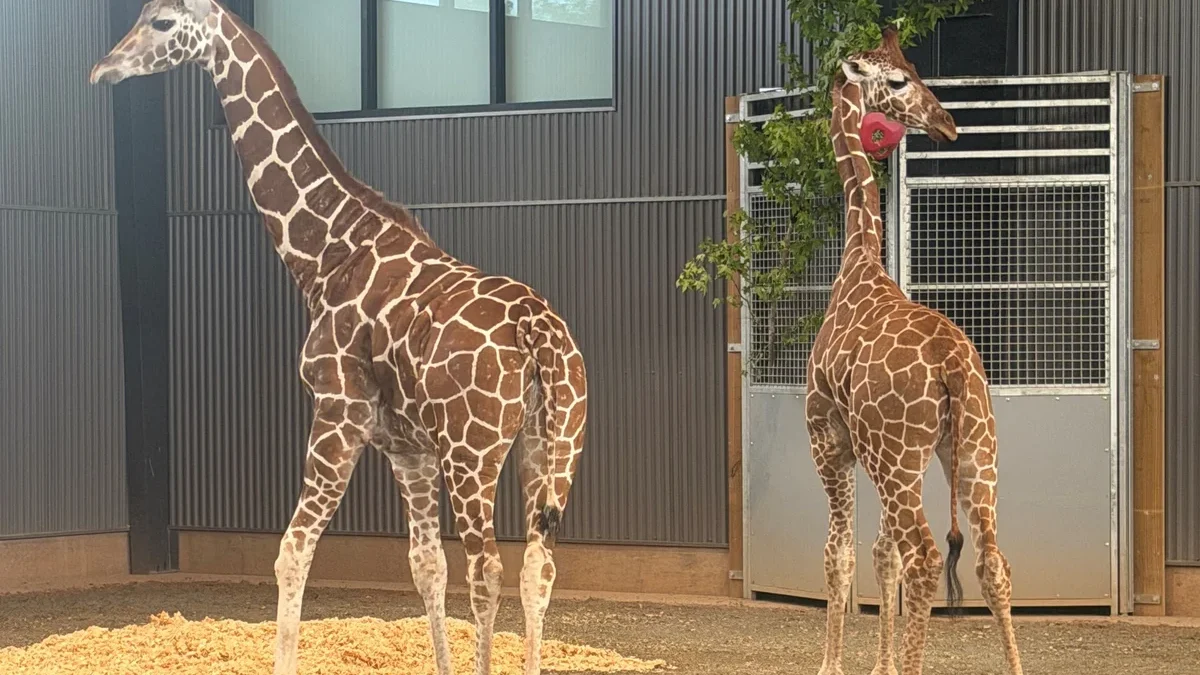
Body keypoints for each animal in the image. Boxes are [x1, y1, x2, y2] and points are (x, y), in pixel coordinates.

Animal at [89, 2, 587, 675]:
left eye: (163, 22)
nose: (103, 69)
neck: (326, 253)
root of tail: (536, 329)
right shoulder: (407, 449)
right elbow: (425, 566)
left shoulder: (337, 413)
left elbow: (292, 550)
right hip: (552, 444)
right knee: (538, 565)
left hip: (474, 450)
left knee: (488, 566)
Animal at [804, 27, 1023, 675]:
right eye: (900, 79)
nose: (948, 122)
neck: (858, 261)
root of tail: (952, 367)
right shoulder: (874, 454)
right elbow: (879, 555)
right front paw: (880, 665)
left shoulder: (830, 441)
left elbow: (842, 554)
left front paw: (834, 665)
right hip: (972, 450)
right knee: (991, 560)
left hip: (898, 457)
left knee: (925, 556)